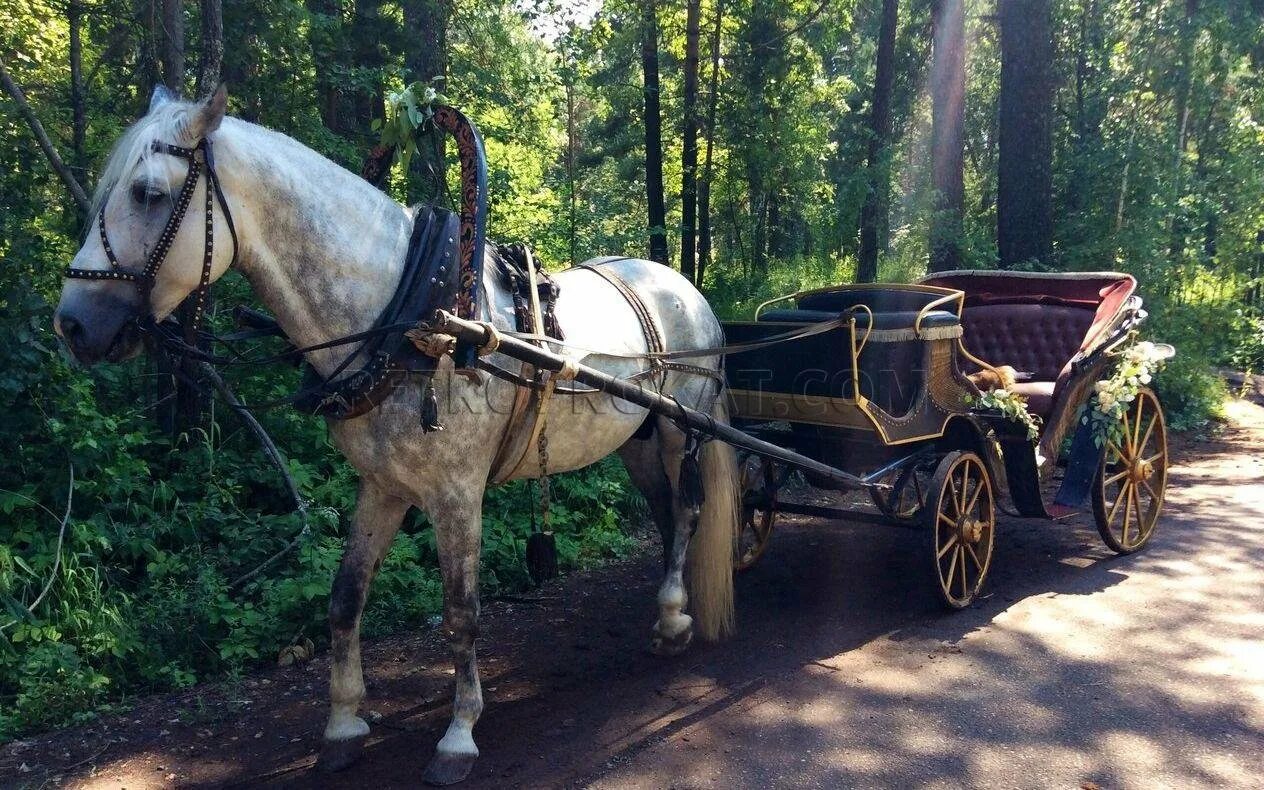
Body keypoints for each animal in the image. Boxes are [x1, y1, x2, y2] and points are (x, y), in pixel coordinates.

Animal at [54, 87, 738, 783]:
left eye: (148, 193)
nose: (71, 325)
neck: (410, 319)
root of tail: (685, 287)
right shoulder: (381, 485)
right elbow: (344, 599)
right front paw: (343, 724)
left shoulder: (457, 492)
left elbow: (461, 614)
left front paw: (459, 734)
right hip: (637, 440)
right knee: (665, 512)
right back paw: (667, 609)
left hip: (681, 427)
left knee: (687, 512)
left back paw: (674, 616)